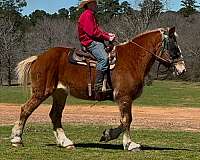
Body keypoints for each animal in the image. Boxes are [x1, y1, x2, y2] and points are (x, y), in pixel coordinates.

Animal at [10, 26, 186, 151]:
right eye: (174, 47)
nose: (182, 69)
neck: (132, 59)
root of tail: (38, 58)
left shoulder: (122, 99)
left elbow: (122, 121)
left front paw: (108, 135)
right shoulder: (124, 98)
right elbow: (127, 120)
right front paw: (130, 144)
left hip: (60, 93)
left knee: (55, 115)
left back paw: (65, 142)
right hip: (41, 92)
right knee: (26, 109)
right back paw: (17, 139)